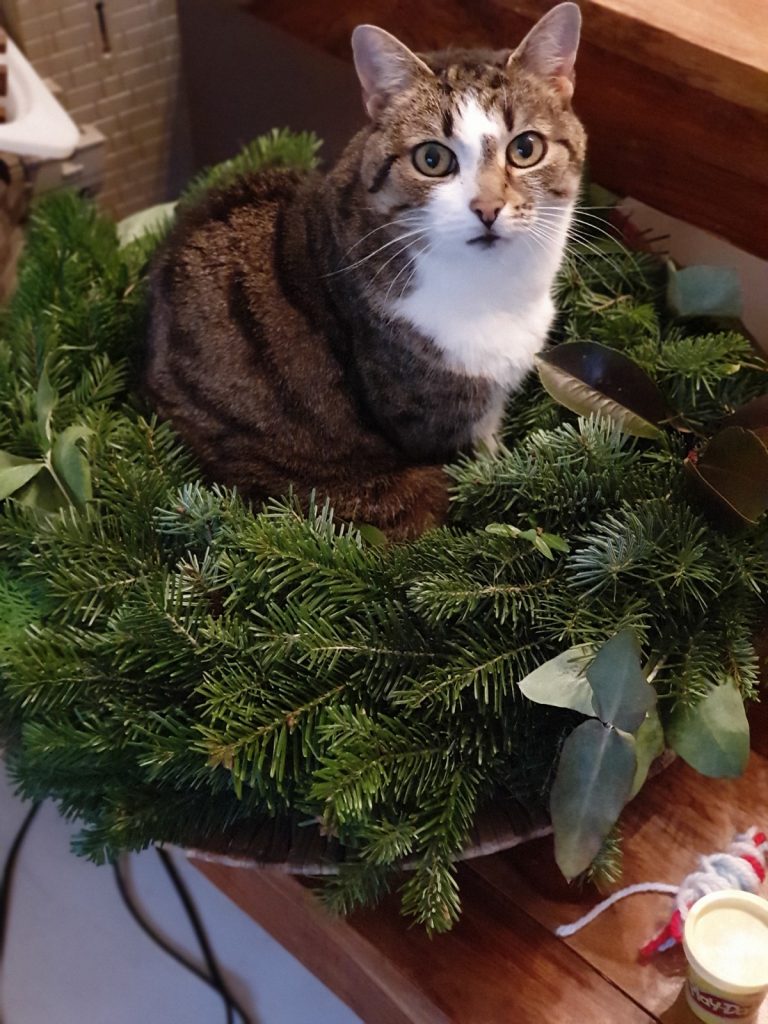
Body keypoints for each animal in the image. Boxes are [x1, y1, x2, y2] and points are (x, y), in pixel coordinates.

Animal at [145, 2, 589, 536]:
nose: (487, 208)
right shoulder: (429, 417)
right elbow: (474, 455)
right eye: (432, 158)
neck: (498, 290)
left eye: (525, 149)